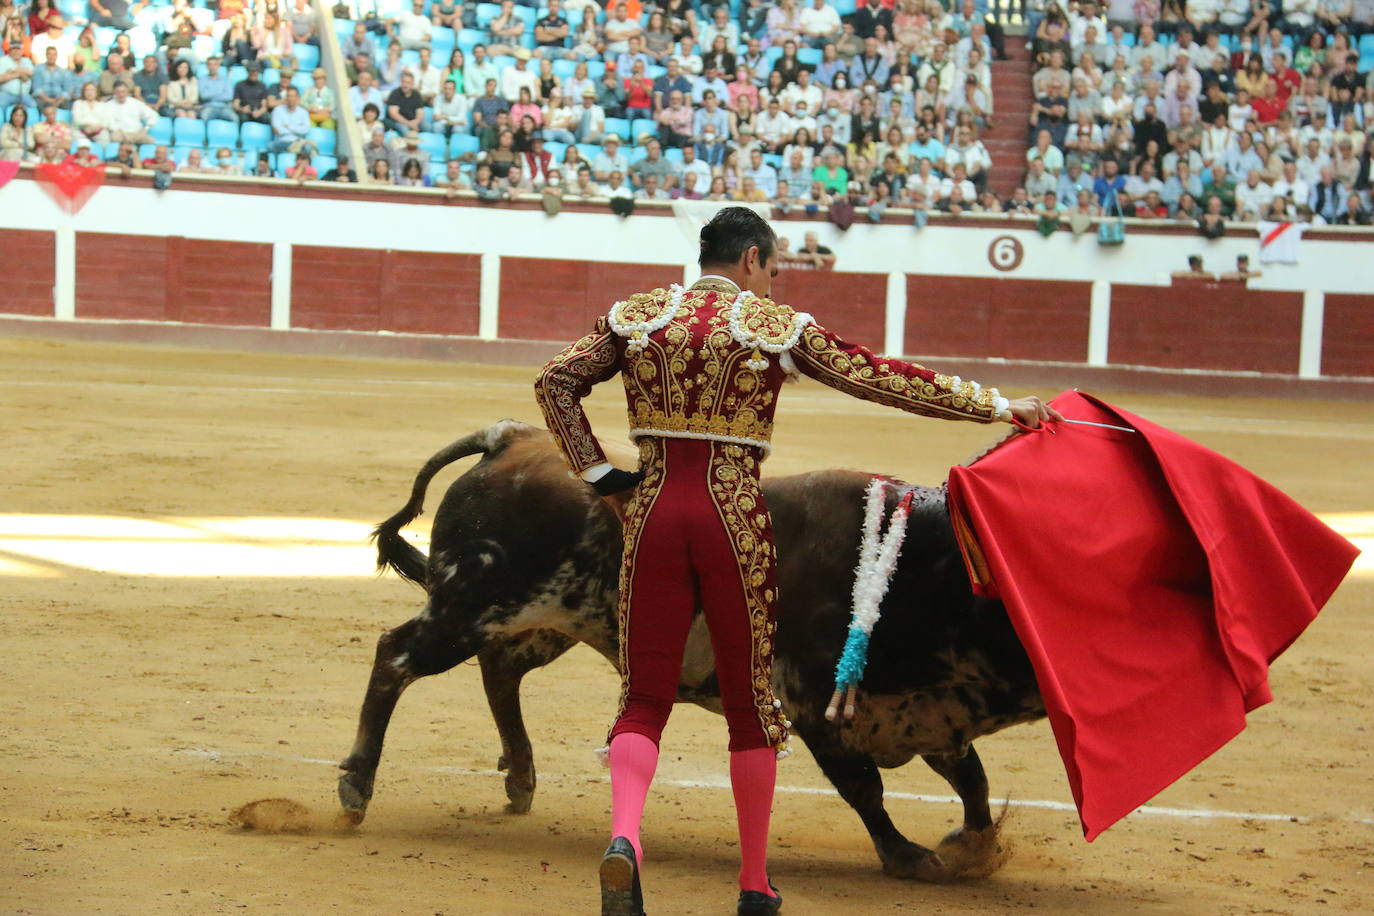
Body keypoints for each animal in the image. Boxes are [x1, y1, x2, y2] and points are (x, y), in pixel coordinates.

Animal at [338, 420, 1044, 878]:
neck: (918, 568)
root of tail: (511, 437)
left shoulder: (928, 715)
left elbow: (972, 779)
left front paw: (975, 848)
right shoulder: (814, 705)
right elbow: (864, 788)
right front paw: (911, 857)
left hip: (548, 619)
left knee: (499, 669)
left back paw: (520, 777)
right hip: (470, 604)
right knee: (395, 656)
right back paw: (356, 786)